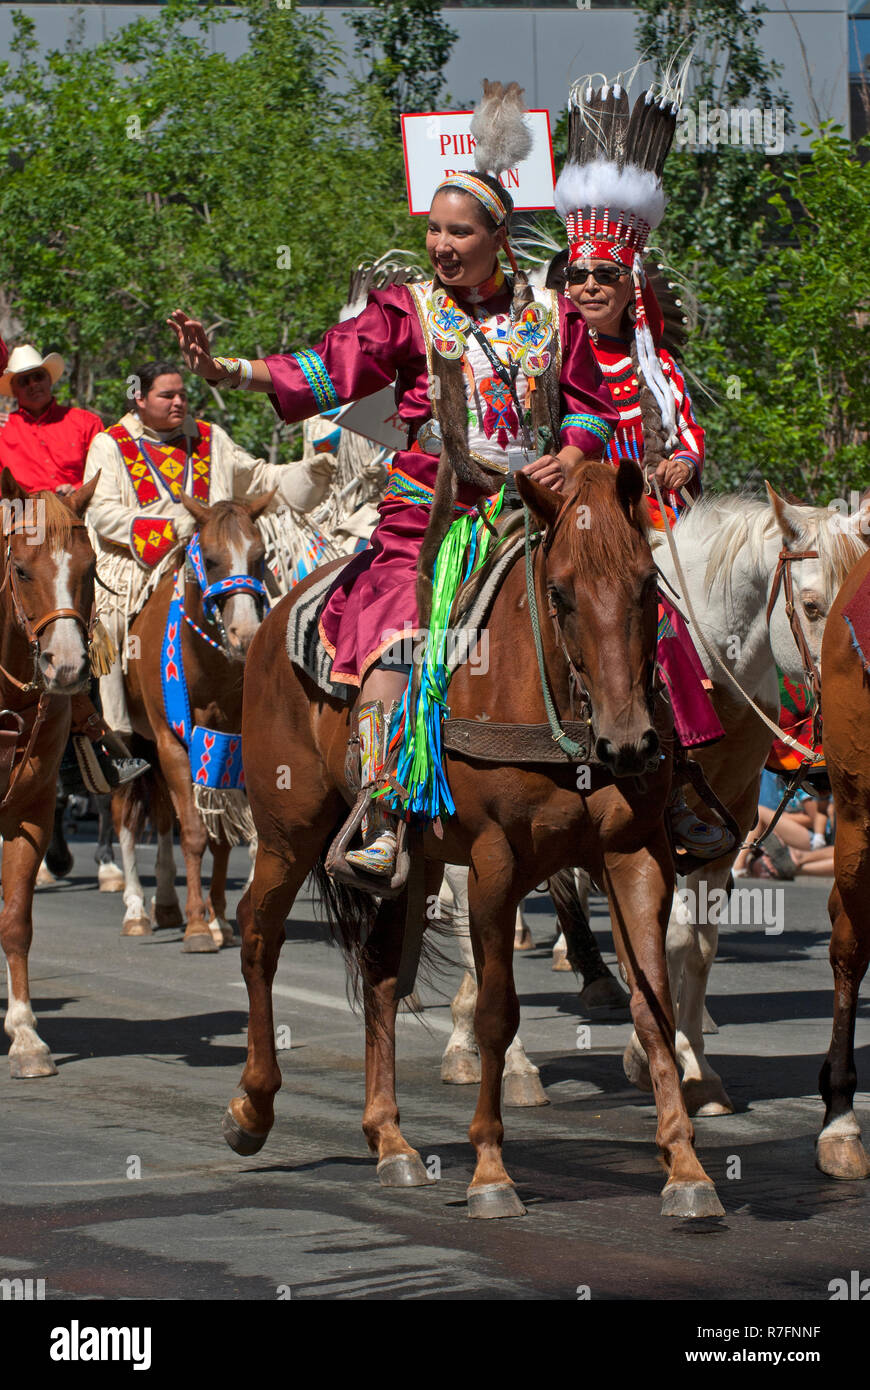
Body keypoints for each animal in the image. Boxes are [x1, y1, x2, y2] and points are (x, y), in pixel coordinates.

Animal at [114, 492, 271, 956]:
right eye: (213, 560)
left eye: (260, 556)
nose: (245, 636)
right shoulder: (171, 743)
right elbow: (195, 834)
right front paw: (199, 927)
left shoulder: (230, 743)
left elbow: (220, 839)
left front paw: (217, 918)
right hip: (130, 743)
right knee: (125, 817)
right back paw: (136, 909)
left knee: (163, 816)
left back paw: (167, 904)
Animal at [226, 464, 722, 1217]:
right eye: (559, 592)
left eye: (646, 584)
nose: (630, 743)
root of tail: (274, 617)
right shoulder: (495, 862)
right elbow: (496, 1013)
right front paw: (491, 1171)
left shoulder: (637, 856)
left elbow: (653, 1005)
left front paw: (686, 1168)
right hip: (289, 831)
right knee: (259, 933)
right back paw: (252, 1109)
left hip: (413, 865)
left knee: (380, 971)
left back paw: (391, 1142)